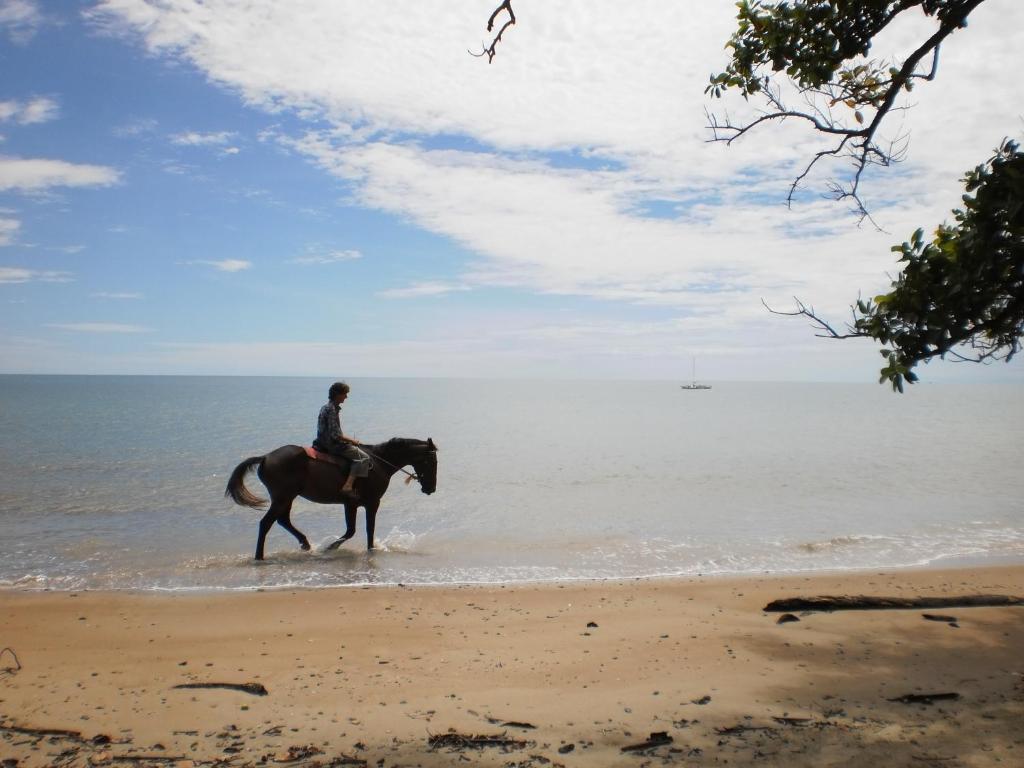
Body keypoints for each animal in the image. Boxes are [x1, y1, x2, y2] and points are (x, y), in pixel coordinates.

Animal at [226, 438, 438, 561]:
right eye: (431, 461)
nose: (431, 488)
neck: (379, 462)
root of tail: (265, 457)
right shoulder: (370, 503)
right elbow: (364, 530)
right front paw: (333, 547)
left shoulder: (351, 504)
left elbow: (354, 530)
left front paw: (331, 547)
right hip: (283, 497)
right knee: (266, 523)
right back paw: (259, 557)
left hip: (286, 498)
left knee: (282, 520)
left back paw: (305, 544)